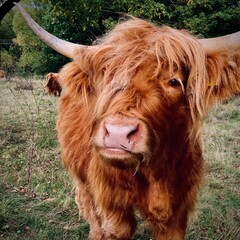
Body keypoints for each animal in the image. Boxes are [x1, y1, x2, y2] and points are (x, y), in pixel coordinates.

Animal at [15, 2, 240, 240]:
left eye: (174, 81)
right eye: (106, 78)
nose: (118, 133)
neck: (154, 172)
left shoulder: (178, 209)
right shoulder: (112, 203)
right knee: (87, 202)